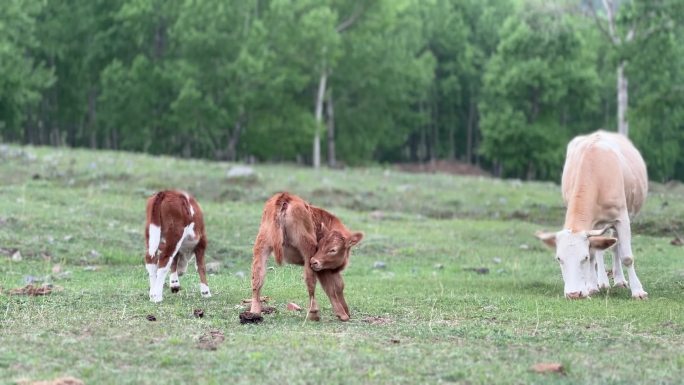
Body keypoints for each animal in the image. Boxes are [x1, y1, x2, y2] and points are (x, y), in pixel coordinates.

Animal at [247, 192, 364, 320]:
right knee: (310, 280)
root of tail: (285, 196)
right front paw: (343, 314)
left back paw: (254, 312)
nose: (315, 261)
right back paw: (314, 313)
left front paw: (346, 310)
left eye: (333, 250)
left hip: (261, 246)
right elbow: (330, 288)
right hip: (308, 249)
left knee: (257, 278)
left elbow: (339, 285)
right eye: (320, 245)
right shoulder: (322, 267)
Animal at [536, 130, 648, 298]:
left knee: (615, 247)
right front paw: (591, 287)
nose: (573, 294)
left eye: (584, 257)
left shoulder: (622, 218)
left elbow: (626, 257)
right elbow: (594, 255)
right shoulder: (591, 226)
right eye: (559, 258)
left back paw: (619, 280)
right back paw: (602, 282)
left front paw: (638, 291)